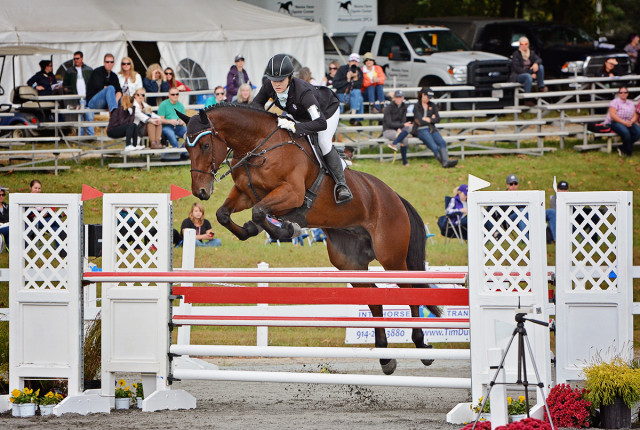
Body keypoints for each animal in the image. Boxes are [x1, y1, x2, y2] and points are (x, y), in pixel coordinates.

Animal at [178, 104, 442, 372]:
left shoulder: (291, 193)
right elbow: (225, 214)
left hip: (391, 257)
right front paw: (253, 229)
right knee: (374, 297)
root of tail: (395, 197)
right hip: (349, 263)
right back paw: (386, 357)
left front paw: (287, 229)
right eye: (187, 147)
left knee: (410, 291)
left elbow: (260, 211)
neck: (258, 146)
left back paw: (422, 346)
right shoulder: (244, 193)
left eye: (205, 145)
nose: (201, 191)